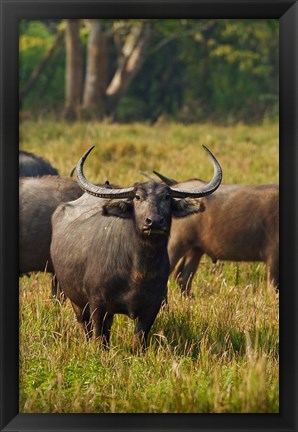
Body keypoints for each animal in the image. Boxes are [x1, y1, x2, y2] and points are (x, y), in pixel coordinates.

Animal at [50, 145, 221, 352]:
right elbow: (99, 337)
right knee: (85, 326)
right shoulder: (97, 304)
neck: (139, 270)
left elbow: (139, 340)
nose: (154, 221)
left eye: (167, 197)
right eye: (138, 197)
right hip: (74, 298)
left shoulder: (152, 306)